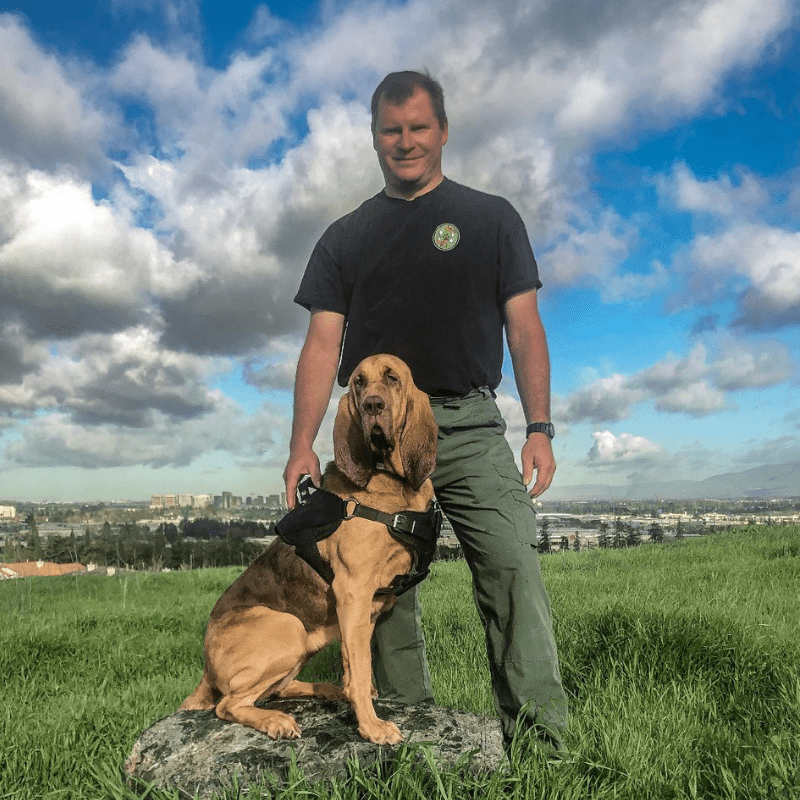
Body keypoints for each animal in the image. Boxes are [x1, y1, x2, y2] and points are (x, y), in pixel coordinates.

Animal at [179, 354, 438, 744]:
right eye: (358, 382)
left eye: (392, 378)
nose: (372, 406)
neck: (390, 484)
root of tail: (206, 669)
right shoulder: (352, 592)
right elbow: (360, 671)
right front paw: (372, 727)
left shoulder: (364, 610)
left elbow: (353, 666)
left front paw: (353, 699)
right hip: (289, 629)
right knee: (228, 705)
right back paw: (276, 721)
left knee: (273, 690)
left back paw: (322, 691)